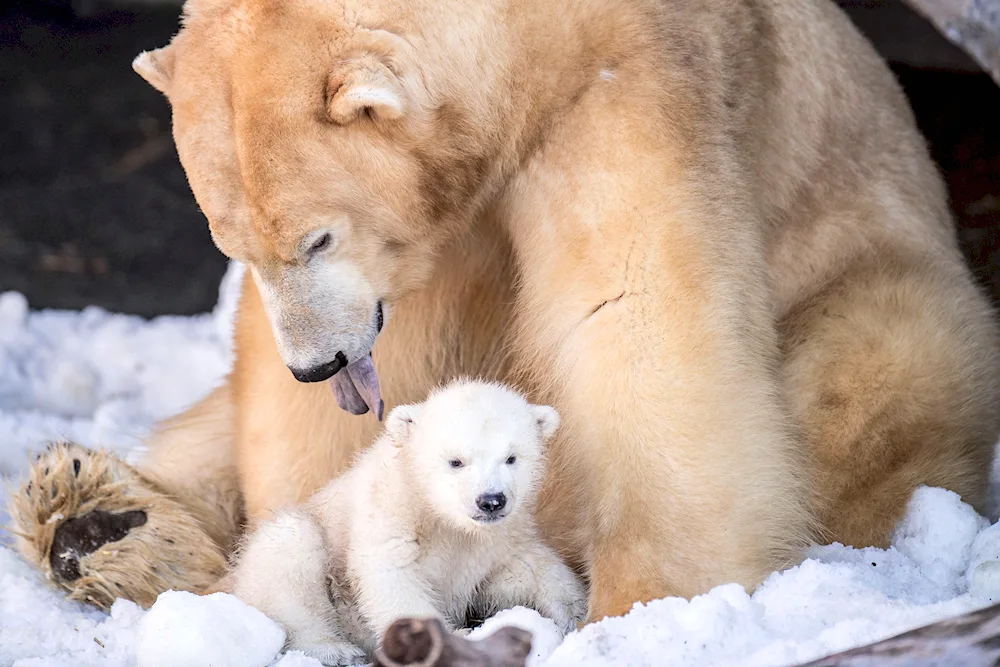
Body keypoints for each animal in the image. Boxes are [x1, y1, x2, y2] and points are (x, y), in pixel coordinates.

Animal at [11, 0, 1000, 624]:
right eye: (233, 243)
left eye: (317, 238)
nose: (317, 365)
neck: (538, 34)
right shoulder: (435, 227)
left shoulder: (624, 87)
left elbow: (639, 315)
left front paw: (641, 604)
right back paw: (96, 519)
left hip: (883, 281)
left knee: (871, 373)